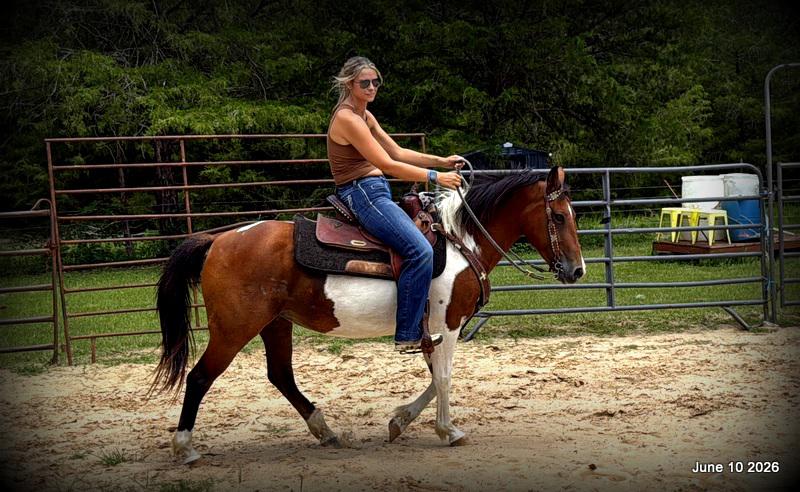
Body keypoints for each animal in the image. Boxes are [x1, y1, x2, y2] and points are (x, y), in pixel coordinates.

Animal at [152, 166, 584, 464]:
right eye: (558, 217)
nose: (577, 270)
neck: (460, 241)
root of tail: (218, 239)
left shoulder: (430, 330)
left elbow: (435, 378)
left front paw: (400, 421)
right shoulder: (447, 323)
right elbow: (444, 378)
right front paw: (448, 430)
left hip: (276, 324)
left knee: (281, 376)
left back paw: (325, 431)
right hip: (234, 328)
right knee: (200, 377)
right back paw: (184, 448)